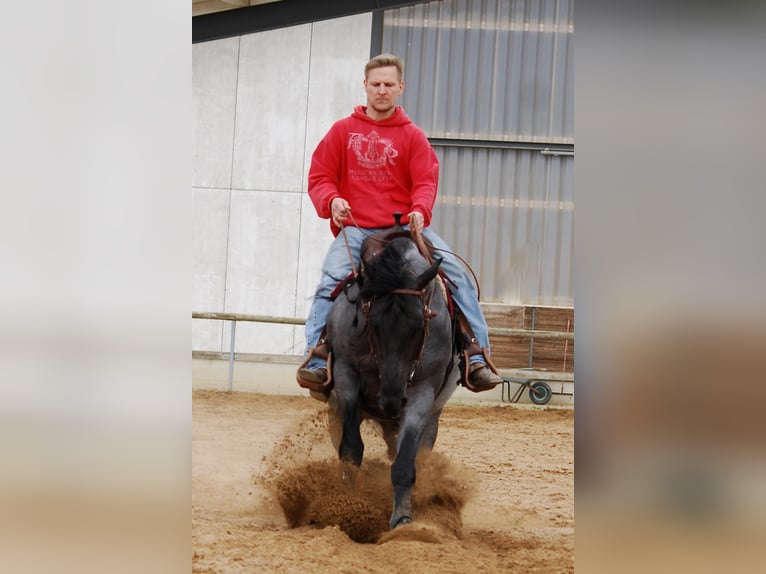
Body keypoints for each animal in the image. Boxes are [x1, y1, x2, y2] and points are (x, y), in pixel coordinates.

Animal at [325, 219, 461, 530]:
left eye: (419, 326)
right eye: (373, 323)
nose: (391, 399)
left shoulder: (422, 392)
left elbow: (405, 462)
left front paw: (402, 517)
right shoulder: (346, 375)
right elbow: (350, 449)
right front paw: (347, 504)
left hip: (430, 415)